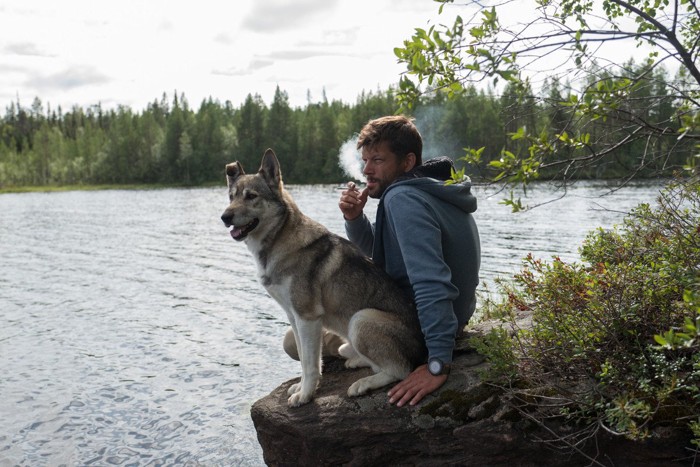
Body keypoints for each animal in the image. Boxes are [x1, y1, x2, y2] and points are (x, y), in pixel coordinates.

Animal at [220, 149, 426, 406]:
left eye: (251, 196)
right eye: (231, 197)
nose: (224, 217)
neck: (278, 243)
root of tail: (424, 349)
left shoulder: (308, 317)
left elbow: (310, 365)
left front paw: (305, 395)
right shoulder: (294, 316)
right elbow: (307, 360)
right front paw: (301, 388)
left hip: (360, 319)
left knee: (400, 370)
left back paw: (363, 384)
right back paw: (357, 361)